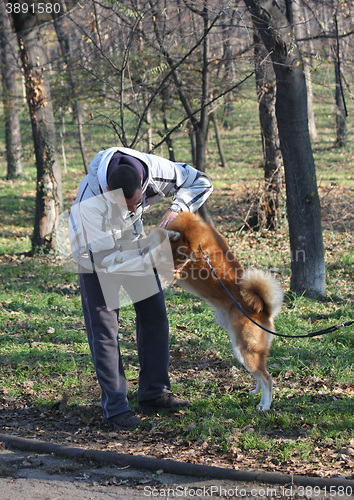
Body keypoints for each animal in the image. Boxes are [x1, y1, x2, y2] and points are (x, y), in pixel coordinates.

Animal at [165, 211, 284, 410]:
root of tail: (264, 311)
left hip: (245, 350)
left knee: (267, 378)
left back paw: (265, 405)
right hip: (245, 351)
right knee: (261, 376)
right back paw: (256, 393)